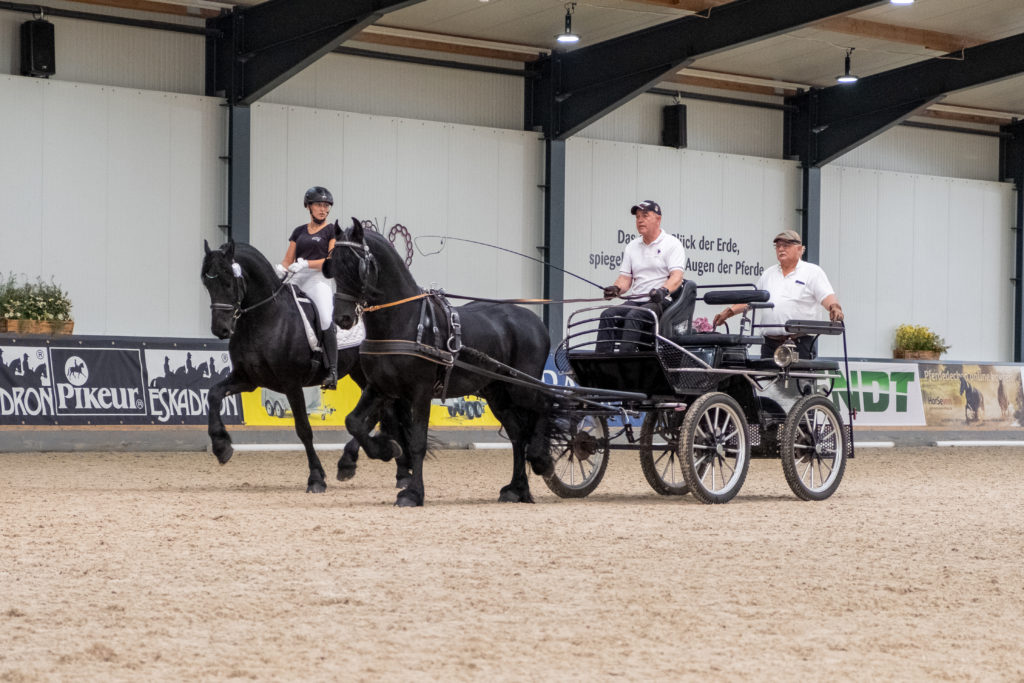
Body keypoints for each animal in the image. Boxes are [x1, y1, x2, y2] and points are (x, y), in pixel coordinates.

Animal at [199, 239, 407, 491]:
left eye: (229, 280)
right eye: (207, 283)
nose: (220, 330)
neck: (266, 317)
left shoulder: (291, 383)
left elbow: (303, 429)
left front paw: (316, 477)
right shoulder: (247, 379)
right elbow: (213, 394)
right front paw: (221, 446)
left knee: (382, 413)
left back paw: (380, 467)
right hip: (361, 373)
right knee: (382, 412)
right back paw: (369, 465)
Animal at [325, 219, 552, 507]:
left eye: (357, 266)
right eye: (333, 266)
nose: (342, 319)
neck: (404, 321)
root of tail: (535, 321)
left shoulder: (420, 392)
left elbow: (417, 442)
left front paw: (413, 493)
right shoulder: (379, 387)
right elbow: (353, 422)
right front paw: (386, 450)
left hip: (522, 387)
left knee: (546, 403)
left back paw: (541, 460)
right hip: (497, 393)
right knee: (517, 434)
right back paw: (517, 488)